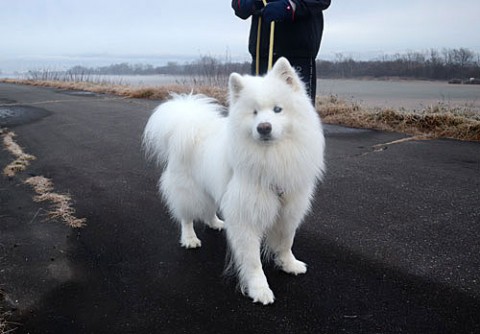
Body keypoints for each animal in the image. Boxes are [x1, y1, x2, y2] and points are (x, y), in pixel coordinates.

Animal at [141, 58, 324, 306]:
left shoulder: (289, 209)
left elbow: (286, 242)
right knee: (186, 216)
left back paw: (217, 223)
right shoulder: (247, 216)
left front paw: (289, 264)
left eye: (278, 109)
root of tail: (188, 123)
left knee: (209, 209)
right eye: (254, 112)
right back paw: (190, 238)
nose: (263, 127)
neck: (271, 157)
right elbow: (253, 261)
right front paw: (259, 290)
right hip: (189, 190)